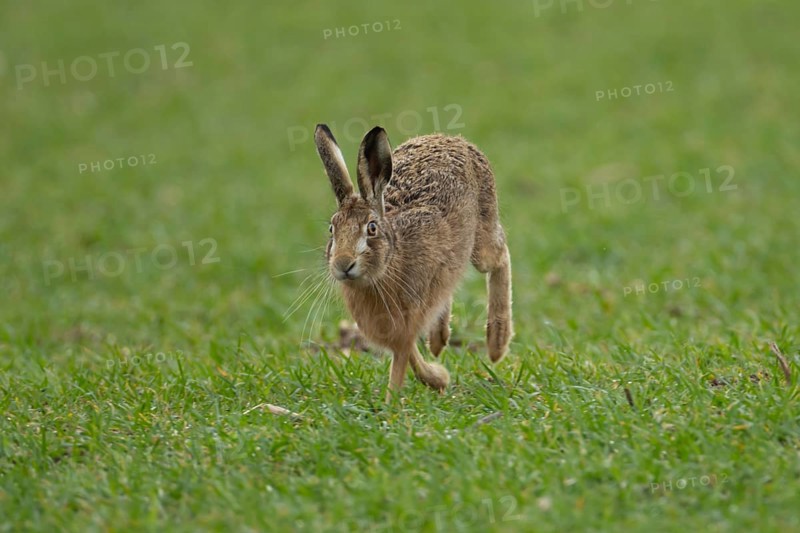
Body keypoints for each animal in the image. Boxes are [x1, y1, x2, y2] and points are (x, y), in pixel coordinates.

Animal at [314, 124, 513, 402]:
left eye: (371, 228)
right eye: (332, 229)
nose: (343, 264)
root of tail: (451, 139)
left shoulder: (410, 316)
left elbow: (401, 360)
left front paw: (393, 402)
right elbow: (408, 353)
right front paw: (438, 378)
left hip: (481, 239)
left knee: (500, 254)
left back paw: (497, 343)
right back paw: (438, 341)